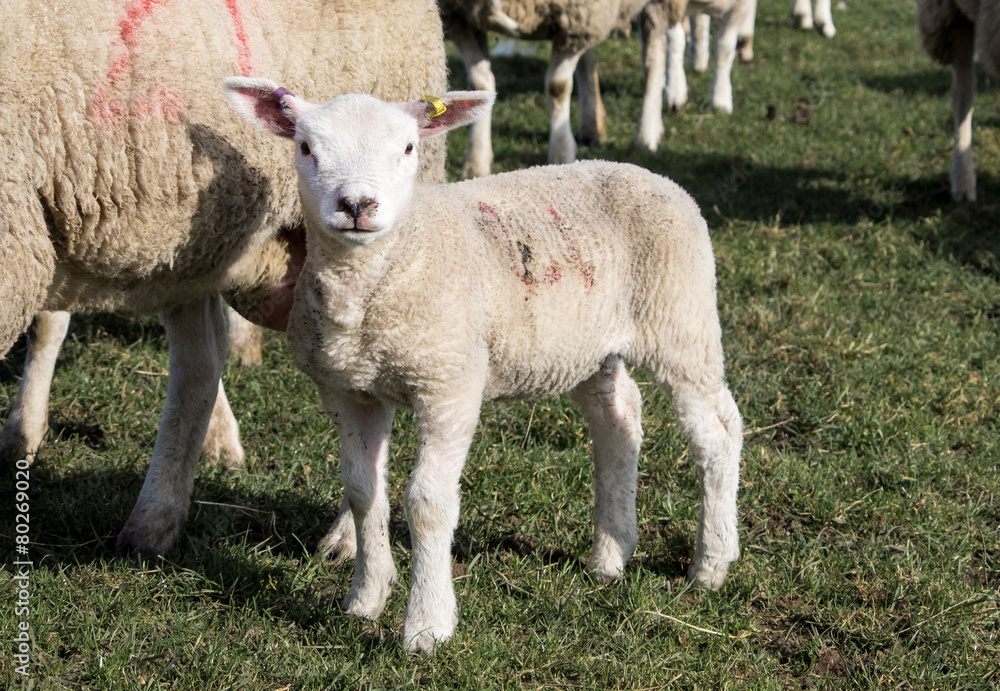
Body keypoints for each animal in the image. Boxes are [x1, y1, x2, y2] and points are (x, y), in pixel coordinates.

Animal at [0, 0, 447, 558]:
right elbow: (50, 324)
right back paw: (155, 520)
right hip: (193, 239)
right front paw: (21, 436)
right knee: (198, 367)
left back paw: (348, 537)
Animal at [224, 78, 743, 654]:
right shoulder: (348, 390)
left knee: (717, 432)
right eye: (305, 148)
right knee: (619, 418)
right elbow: (362, 494)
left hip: (681, 319)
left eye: (408, 148)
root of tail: (650, 175)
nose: (357, 204)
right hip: (587, 345)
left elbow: (427, 503)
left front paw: (427, 626)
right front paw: (365, 599)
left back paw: (711, 563)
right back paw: (610, 556)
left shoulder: (448, 383)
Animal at [438, 0, 689, 177]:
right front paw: (476, 162)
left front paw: (560, 154)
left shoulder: (575, 23)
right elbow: (479, 85)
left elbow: (557, 87)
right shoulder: (461, 20)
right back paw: (592, 127)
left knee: (654, 56)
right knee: (589, 60)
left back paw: (646, 133)